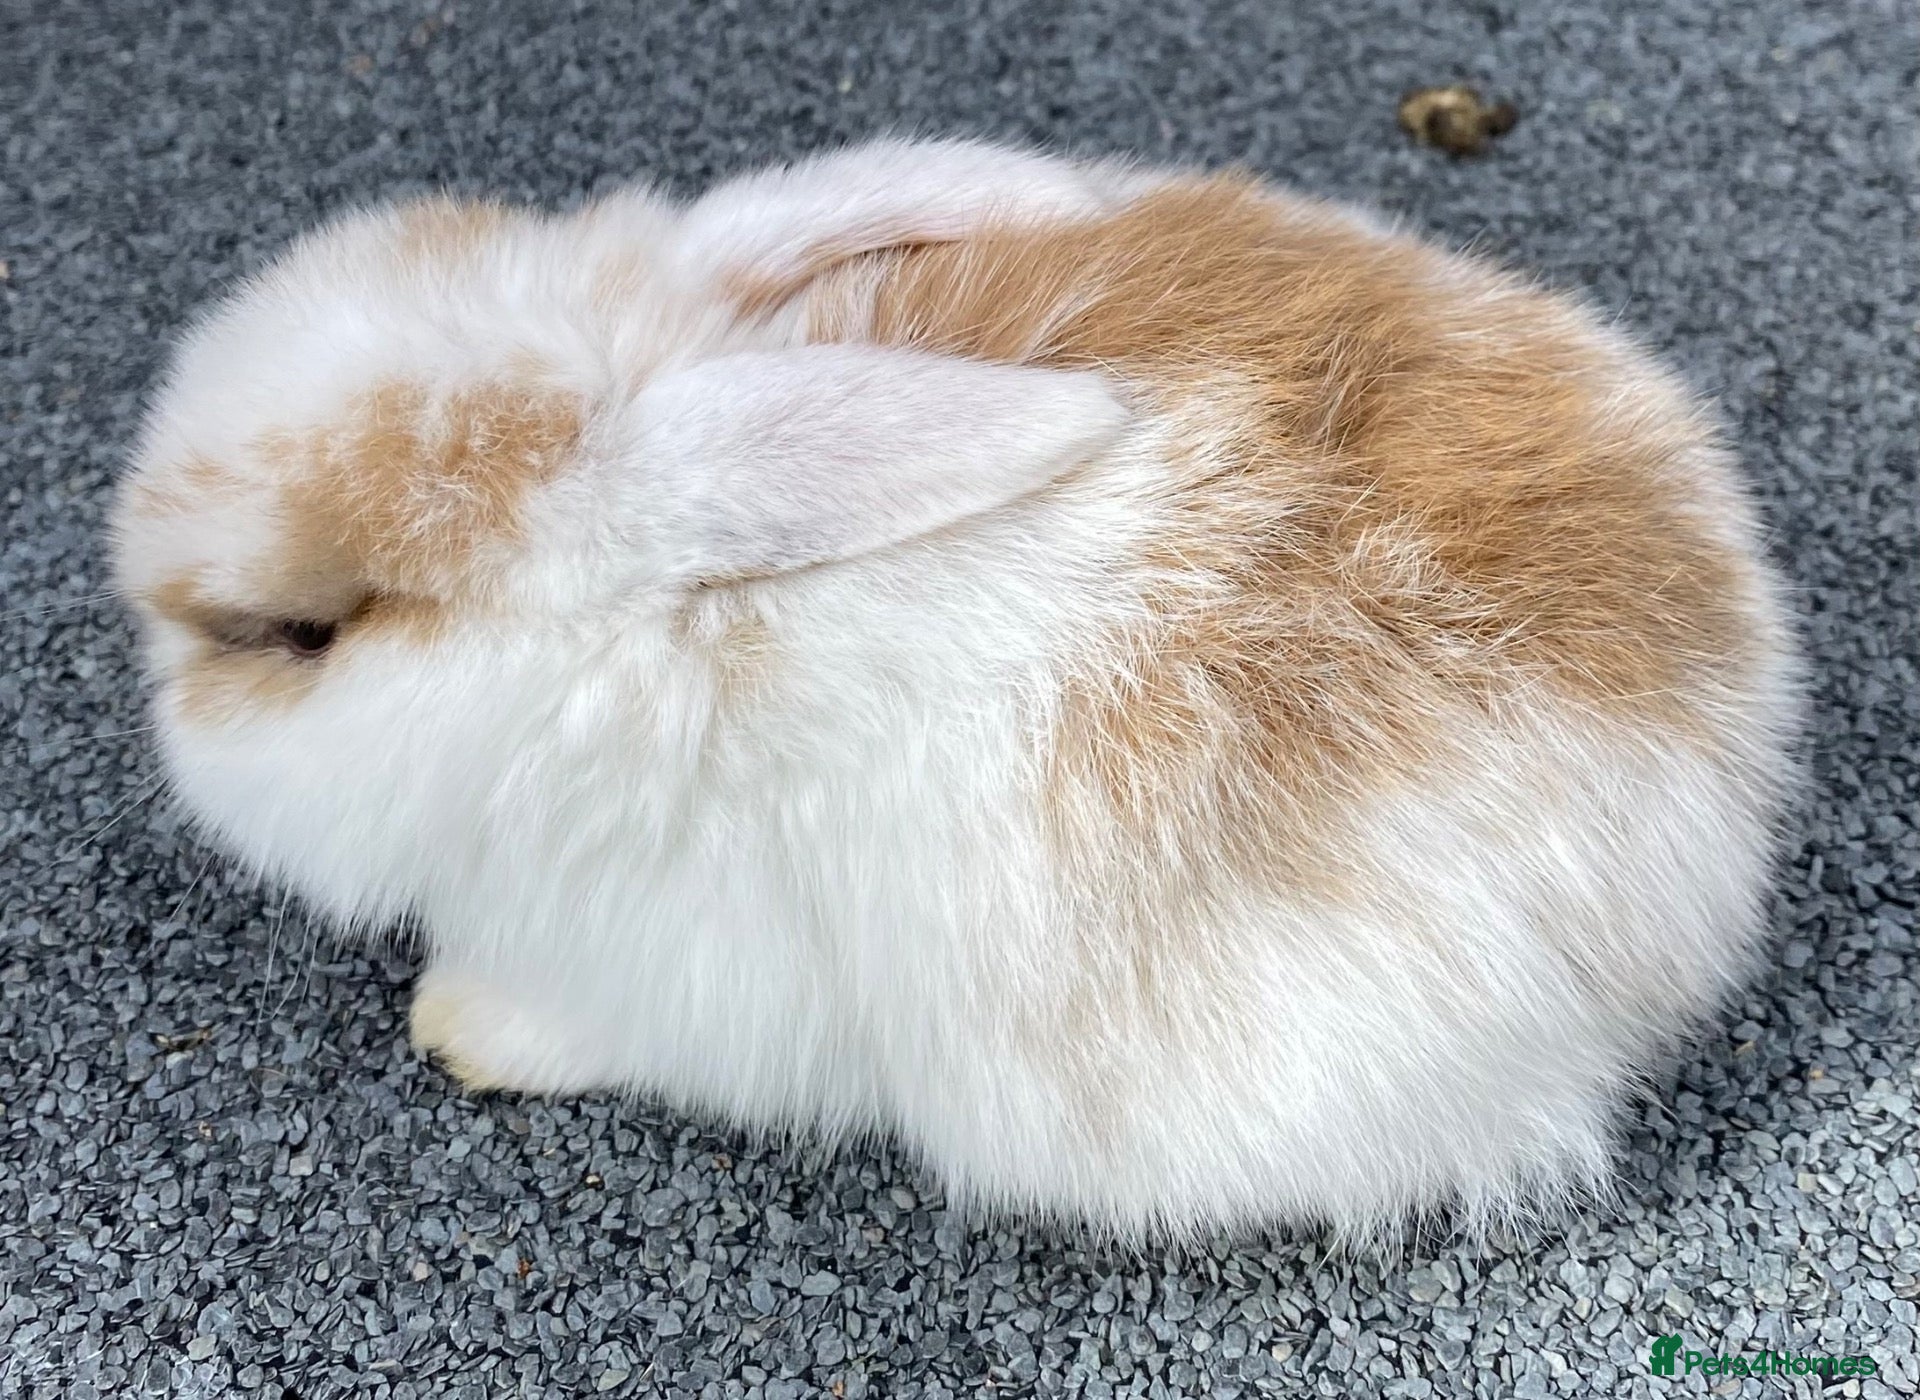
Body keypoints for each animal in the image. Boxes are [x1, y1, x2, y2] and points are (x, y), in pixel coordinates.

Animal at [113, 137, 1801, 1241]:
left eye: (300, 634)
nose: (147, 648)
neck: (639, 648)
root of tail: (1723, 808)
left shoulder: (683, 972)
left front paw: (457, 1025)